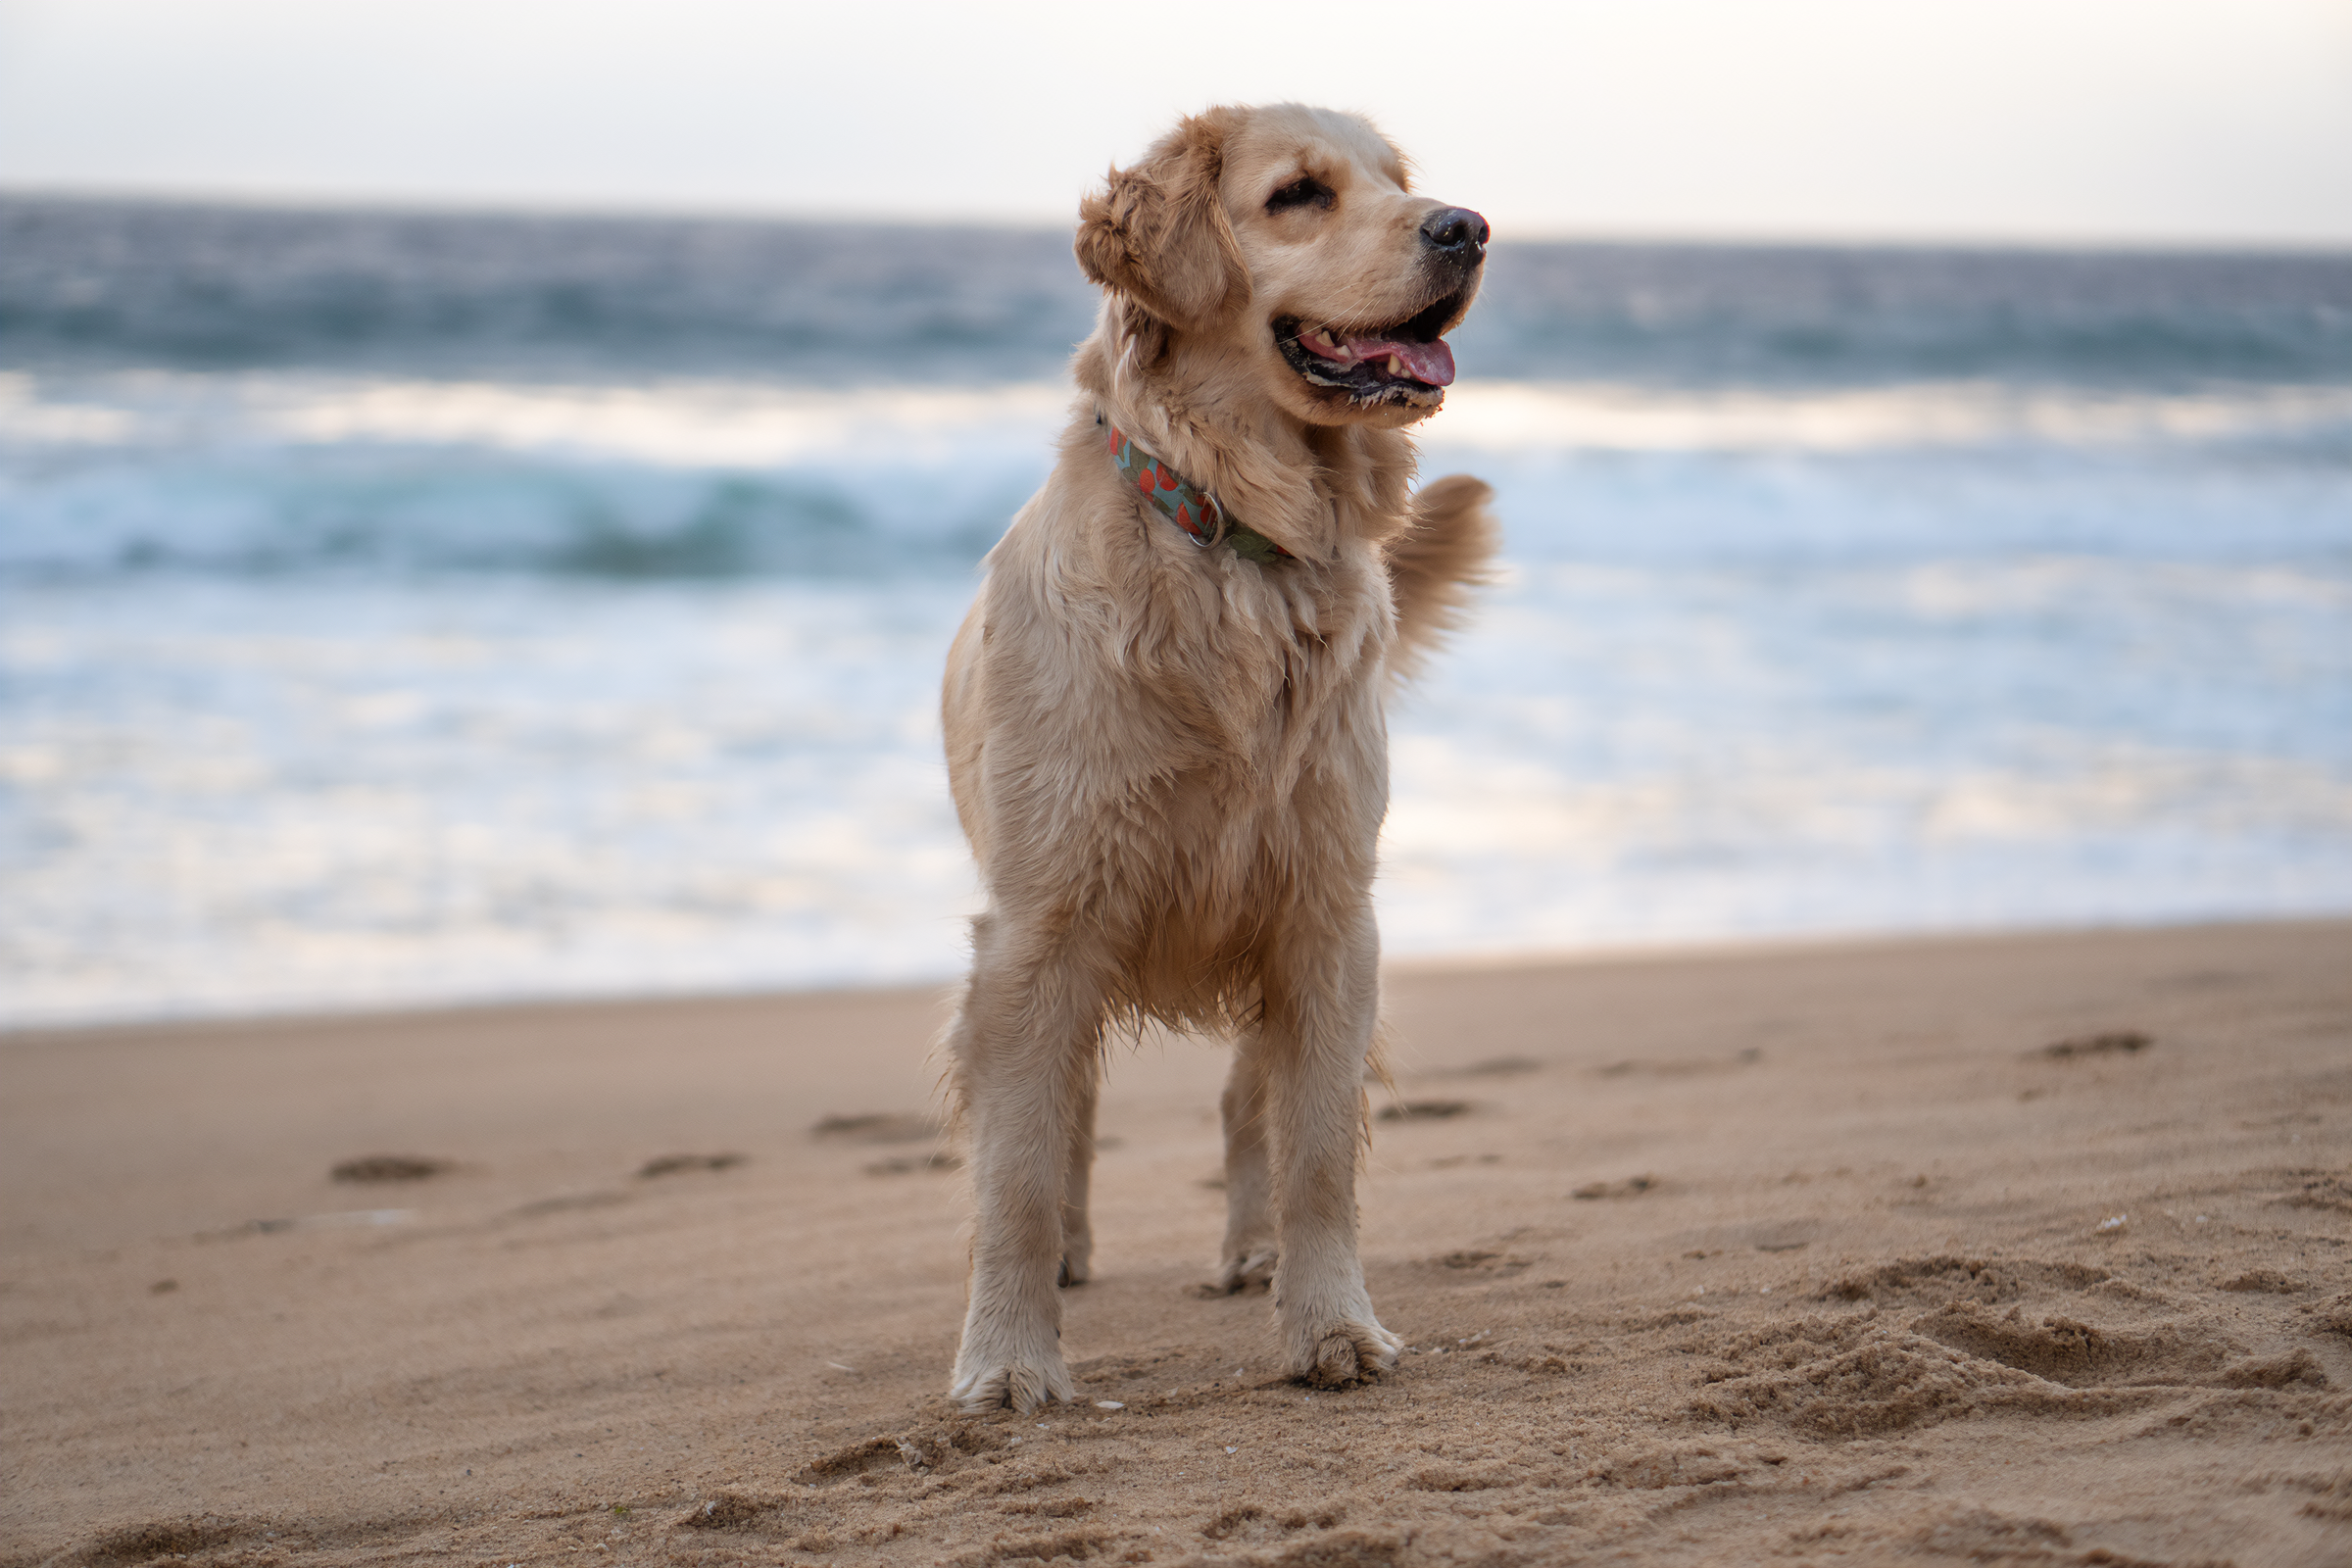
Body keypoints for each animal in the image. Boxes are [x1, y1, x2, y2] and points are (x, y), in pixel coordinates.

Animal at [936, 104, 1486, 1419]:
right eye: (1299, 195)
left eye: (1400, 181)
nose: (1468, 227)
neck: (1241, 542)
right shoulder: (1037, 931)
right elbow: (1017, 1169)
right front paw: (1009, 1359)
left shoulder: (1327, 915)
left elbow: (1318, 1150)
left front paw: (1331, 1322)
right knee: (1070, 1116)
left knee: (1251, 1104)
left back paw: (1252, 1251)